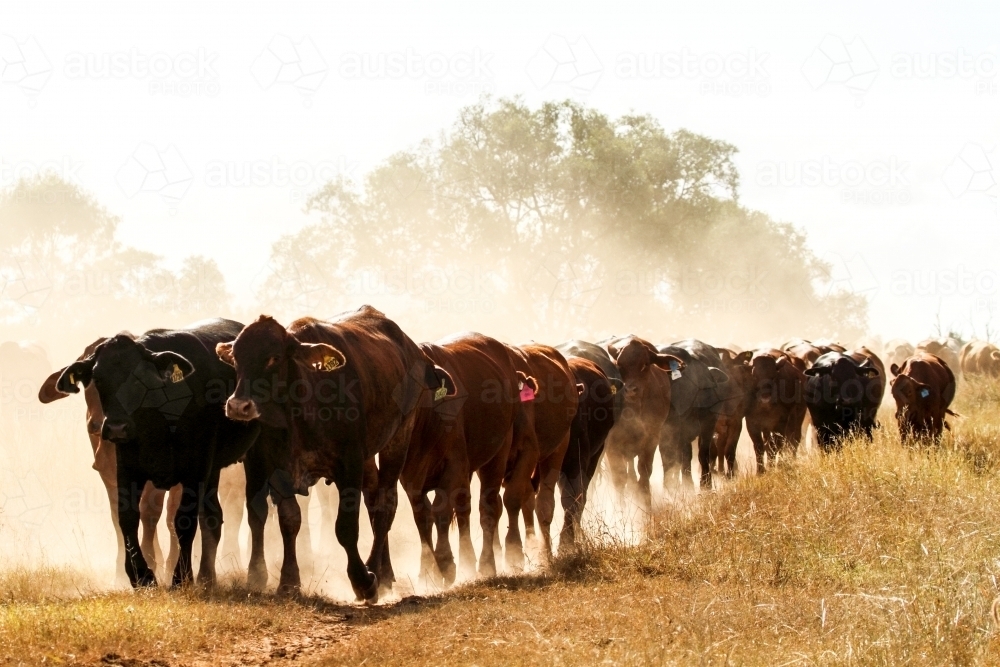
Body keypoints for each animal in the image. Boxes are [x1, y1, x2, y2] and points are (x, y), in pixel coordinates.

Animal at [50, 320, 263, 588]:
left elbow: (183, 520)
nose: (116, 427)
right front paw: (140, 575)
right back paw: (207, 577)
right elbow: (128, 517)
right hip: (213, 470)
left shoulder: (194, 470)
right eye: (98, 378)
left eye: (139, 379)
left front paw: (181, 577)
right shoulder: (127, 468)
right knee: (213, 518)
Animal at [216, 307, 455, 603]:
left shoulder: (349, 464)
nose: (239, 406)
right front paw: (289, 581)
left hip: (398, 438)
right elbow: (289, 520)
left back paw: (376, 571)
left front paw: (363, 580)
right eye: (236, 358)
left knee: (386, 505)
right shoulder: (277, 469)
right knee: (374, 501)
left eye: (274, 357)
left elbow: (346, 527)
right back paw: (386, 573)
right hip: (368, 459)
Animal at [399, 332, 523, 585]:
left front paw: (445, 562)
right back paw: (468, 560)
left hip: (497, 455)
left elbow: (441, 511)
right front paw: (427, 571)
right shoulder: (409, 478)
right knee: (465, 508)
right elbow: (422, 518)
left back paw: (486, 564)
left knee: (488, 508)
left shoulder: (453, 467)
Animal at [504, 344, 577, 568]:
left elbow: (512, 498)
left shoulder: (529, 452)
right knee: (529, 500)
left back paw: (546, 554)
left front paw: (513, 553)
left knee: (544, 505)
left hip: (557, 448)